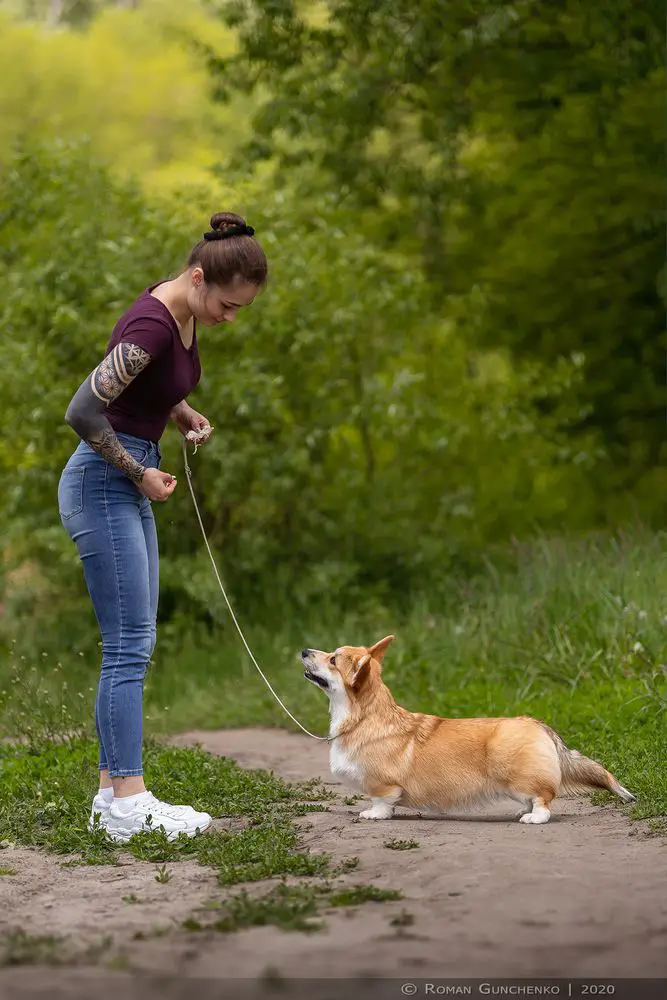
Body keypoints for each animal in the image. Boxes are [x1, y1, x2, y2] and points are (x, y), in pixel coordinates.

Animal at [302, 636, 636, 824]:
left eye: (332, 659)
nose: (304, 650)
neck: (362, 718)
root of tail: (539, 726)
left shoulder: (384, 786)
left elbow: (382, 802)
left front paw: (374, 815)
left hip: (519, 778)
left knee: (544, 801)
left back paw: (532, 818)